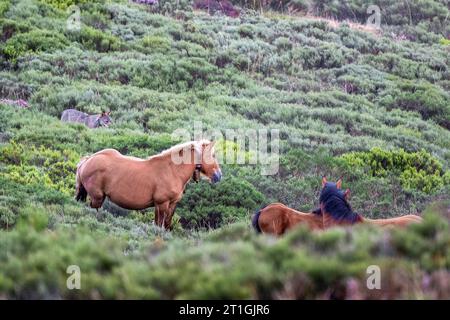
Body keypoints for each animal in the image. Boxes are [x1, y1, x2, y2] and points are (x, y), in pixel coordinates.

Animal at [76, 139, 222, 228]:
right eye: (213, 155)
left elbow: (166, 224)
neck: (172, 170)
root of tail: (88, 160)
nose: (219, 176)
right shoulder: (161, 204)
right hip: (97, 198)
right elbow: (159, 225)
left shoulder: (170, 204)